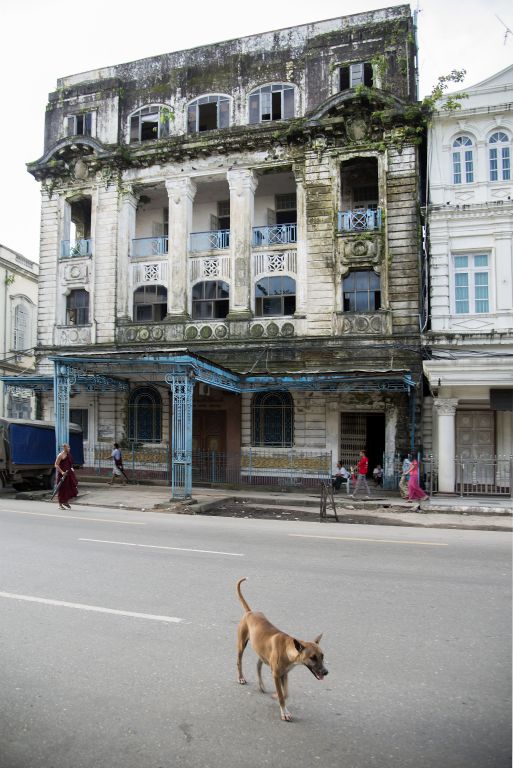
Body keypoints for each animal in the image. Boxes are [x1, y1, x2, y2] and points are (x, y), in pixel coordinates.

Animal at [234, 576, 326, 720]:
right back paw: (241, 678)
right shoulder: (277, 675)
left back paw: (261, 685)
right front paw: (284, 712)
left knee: (258, 664)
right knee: (239, 661)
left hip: (263, 651)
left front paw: (277, 695)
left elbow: (286, 693)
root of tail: (250, 612)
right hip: (242, 644)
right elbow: (283, 696)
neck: (288, 649)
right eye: (313, 658)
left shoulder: (285, 674)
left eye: (322, 656)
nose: (326, 672)